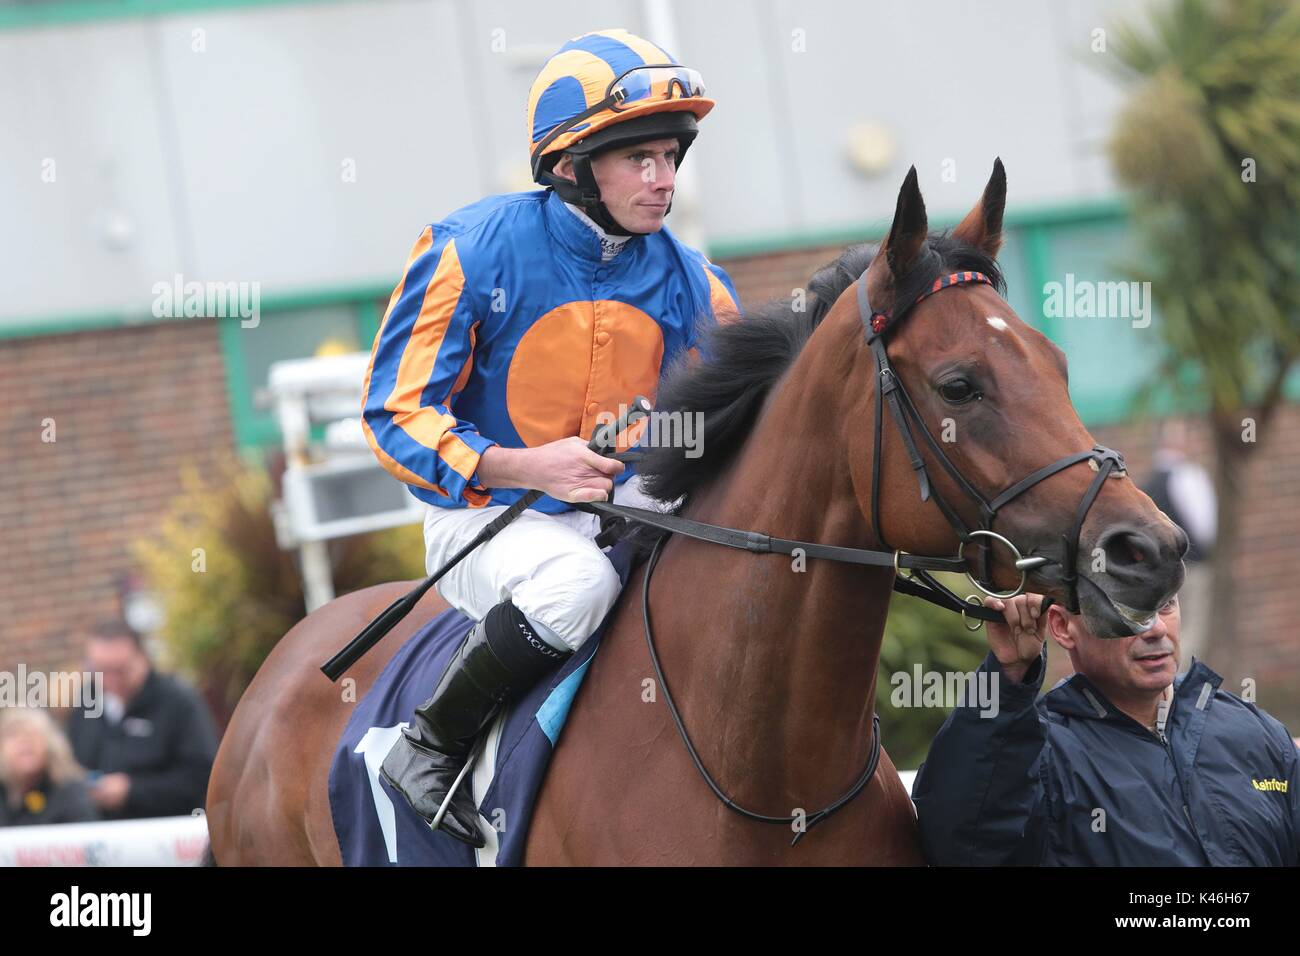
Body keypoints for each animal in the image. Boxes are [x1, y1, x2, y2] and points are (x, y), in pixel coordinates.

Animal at [205, 164, 1190, 868]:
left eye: (1060, 363)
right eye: (959, 385)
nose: (1150, 549)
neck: (769, 784)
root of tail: (272, 678)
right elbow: (401, 404)